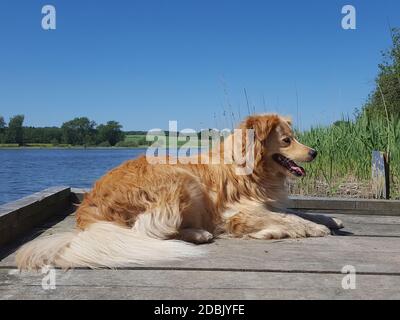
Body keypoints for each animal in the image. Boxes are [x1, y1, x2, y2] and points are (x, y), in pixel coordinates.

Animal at [16, 114, 344, 268]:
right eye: (287, 140)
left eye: (295, 138)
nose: (314, 152)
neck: (252, 170)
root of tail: (88, 211)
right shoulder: (237, 211)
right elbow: (291, 218)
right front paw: (308, 229)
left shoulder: (267, 204)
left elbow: (299, 212)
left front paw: (330, 220)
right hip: (181, 180)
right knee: (149, 232)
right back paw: (199, 234)